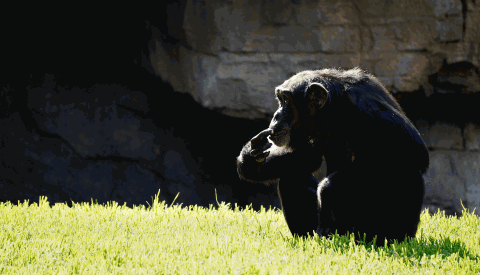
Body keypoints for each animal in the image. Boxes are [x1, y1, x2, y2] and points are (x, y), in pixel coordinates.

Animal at [238, 67, 430, 246]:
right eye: (280, 99)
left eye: (286, 100)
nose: (276, 115)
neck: (334, 111)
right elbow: (306, 157)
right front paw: (250, 162)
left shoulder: (368, 109)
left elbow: (413, 152)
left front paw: (329, 185)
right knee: (291, 178)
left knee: (408, 171)